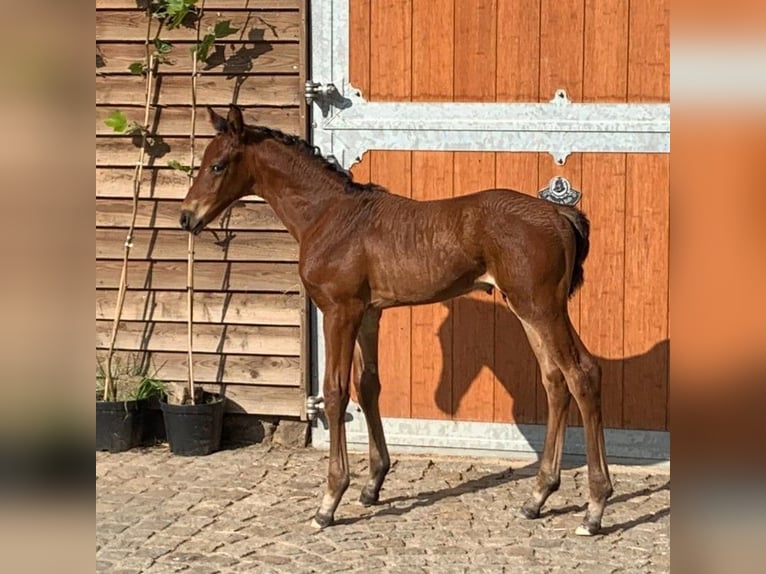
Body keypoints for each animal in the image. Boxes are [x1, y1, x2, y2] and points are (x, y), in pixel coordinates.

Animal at [178, 107, 612, 536]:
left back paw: (594, 508)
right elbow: (368, 385)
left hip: (541, 307)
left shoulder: (339, 311)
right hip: (530, 309)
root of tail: (558, 212)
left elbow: (335, 392)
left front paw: (329, 501)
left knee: (582, 374)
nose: (186, 217)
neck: (329, 215)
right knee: (555, 381)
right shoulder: (369, 313)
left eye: (217, 165)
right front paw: (372, 484)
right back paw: (538, 497)